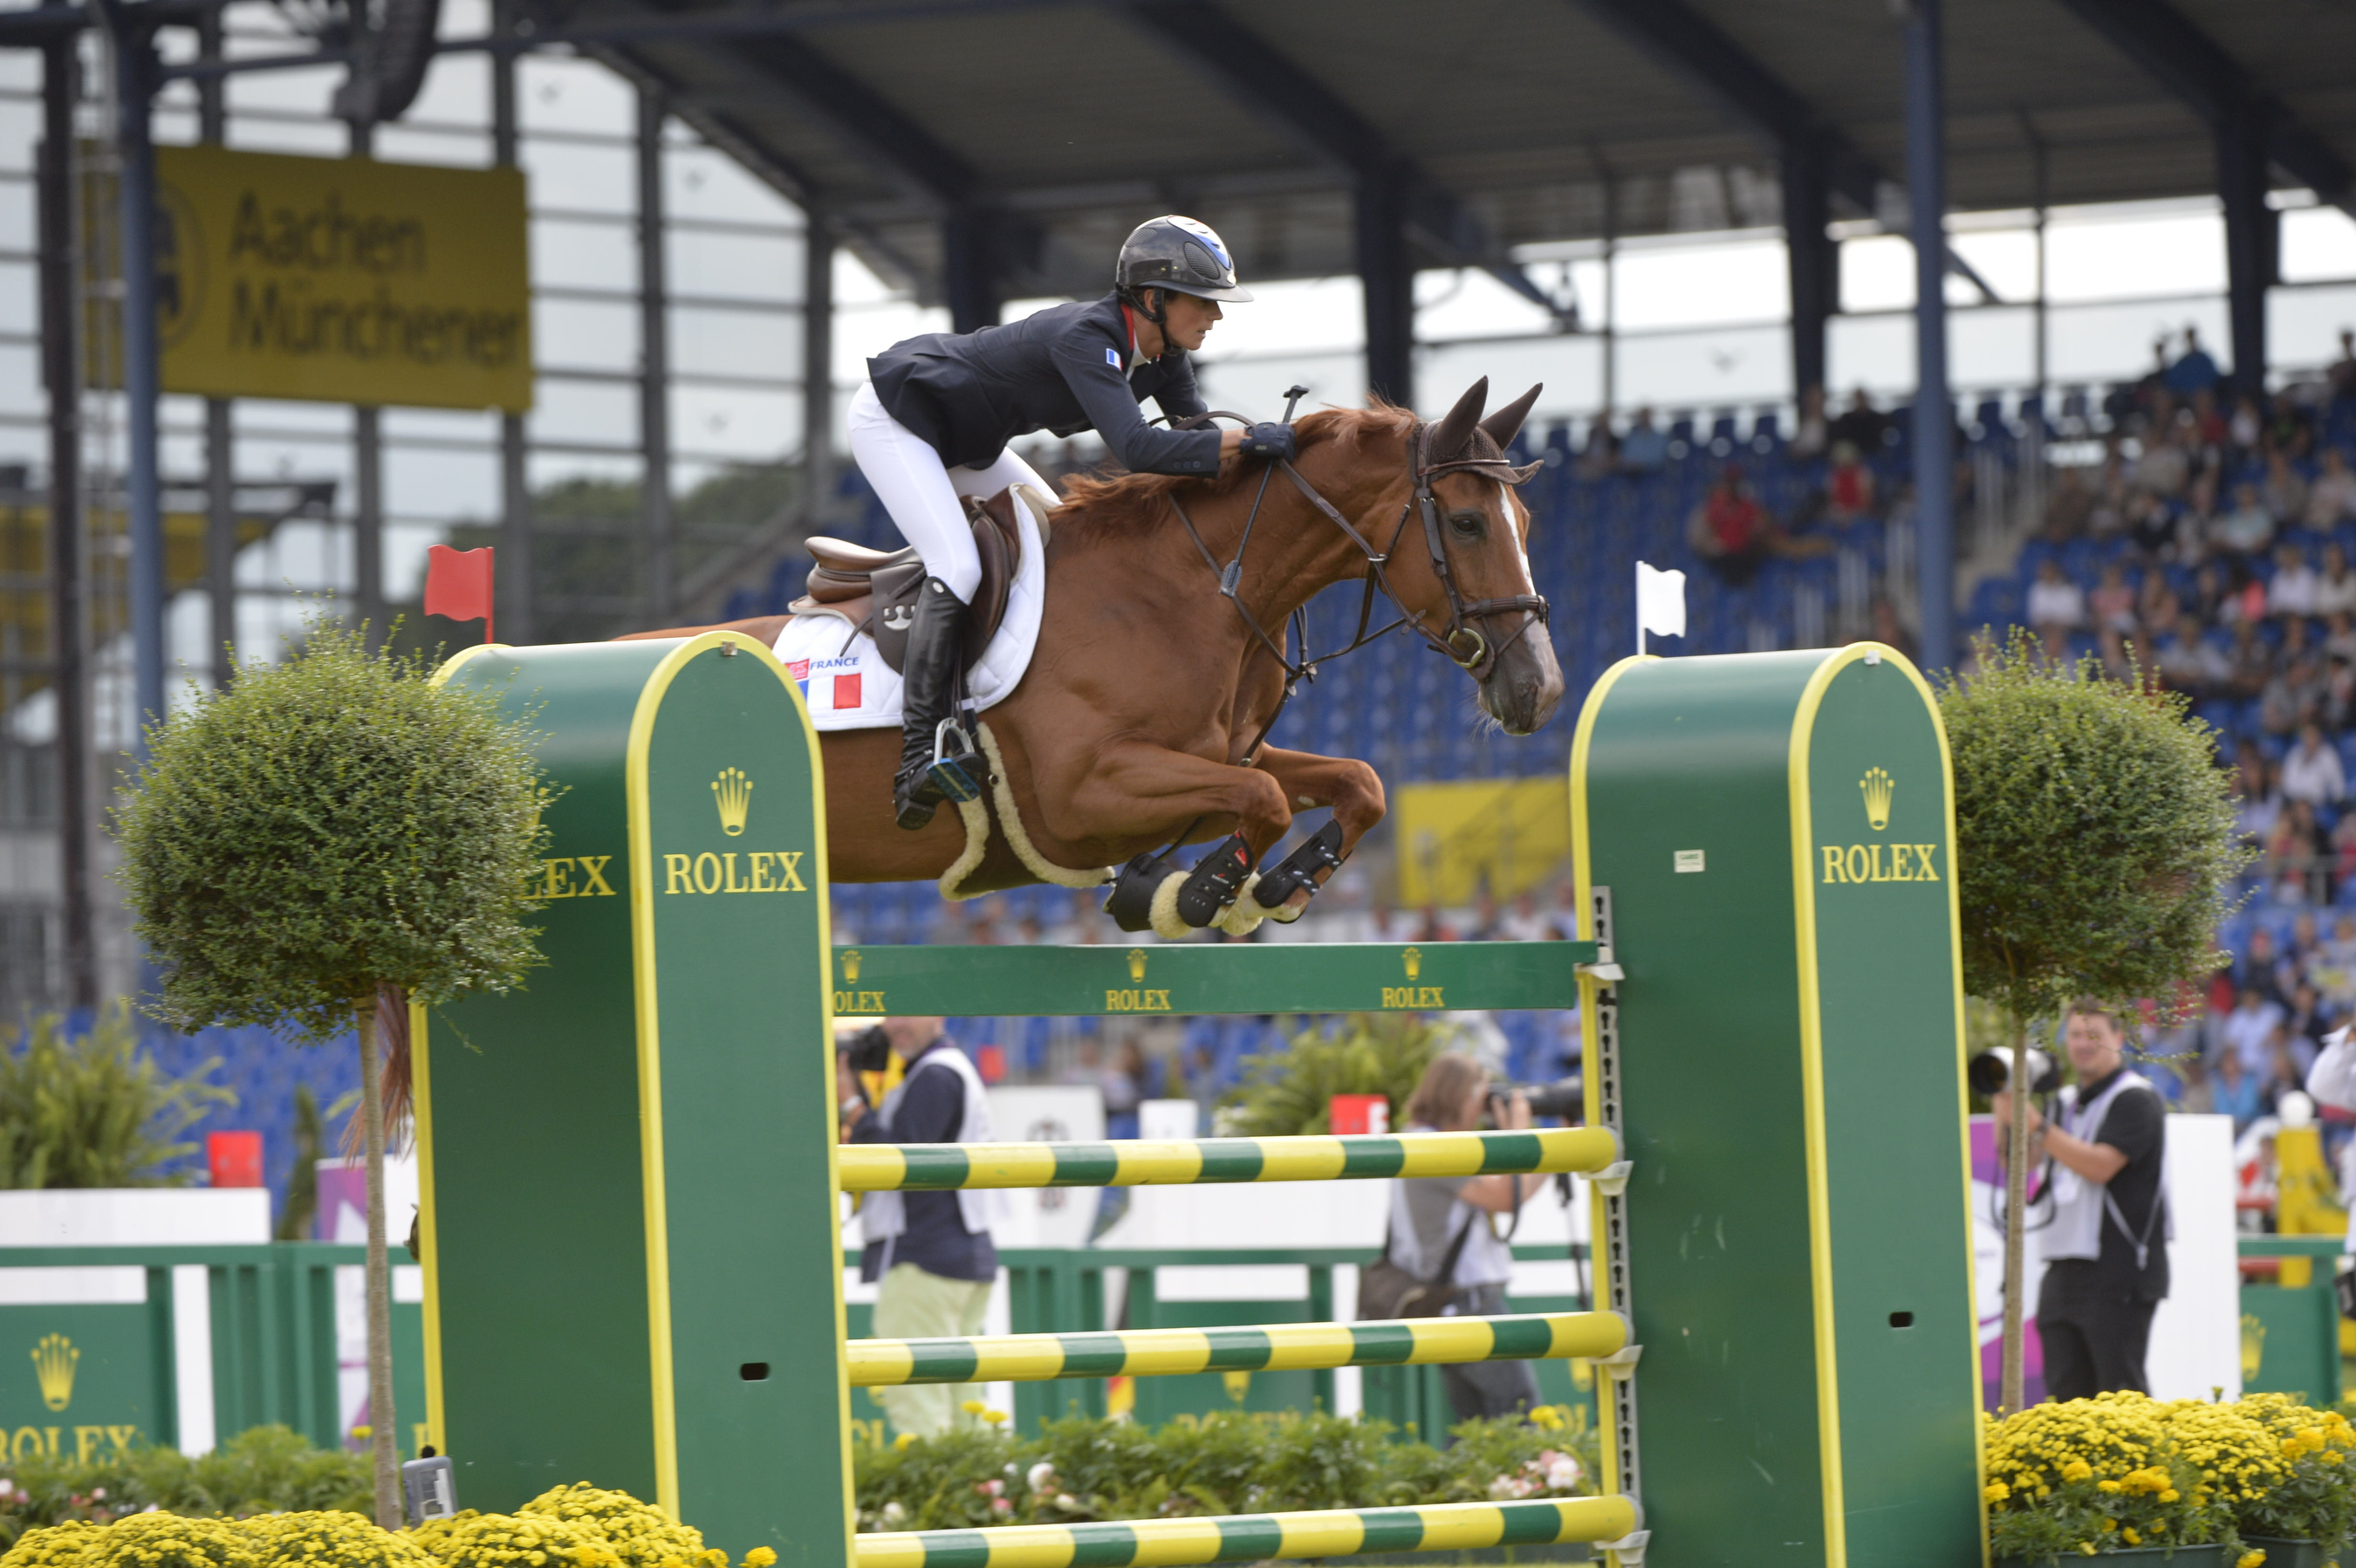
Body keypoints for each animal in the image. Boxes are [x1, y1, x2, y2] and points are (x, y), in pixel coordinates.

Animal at [621, 377, 1565, 933]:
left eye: (1528, 522)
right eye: (1467, 523)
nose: (1543, 691)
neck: (1195, 591)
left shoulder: (1218, 758)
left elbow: (1356, 783)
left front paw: (1275, 886)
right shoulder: (1086, 796)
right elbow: (1261, 801)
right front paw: (1197, 893)